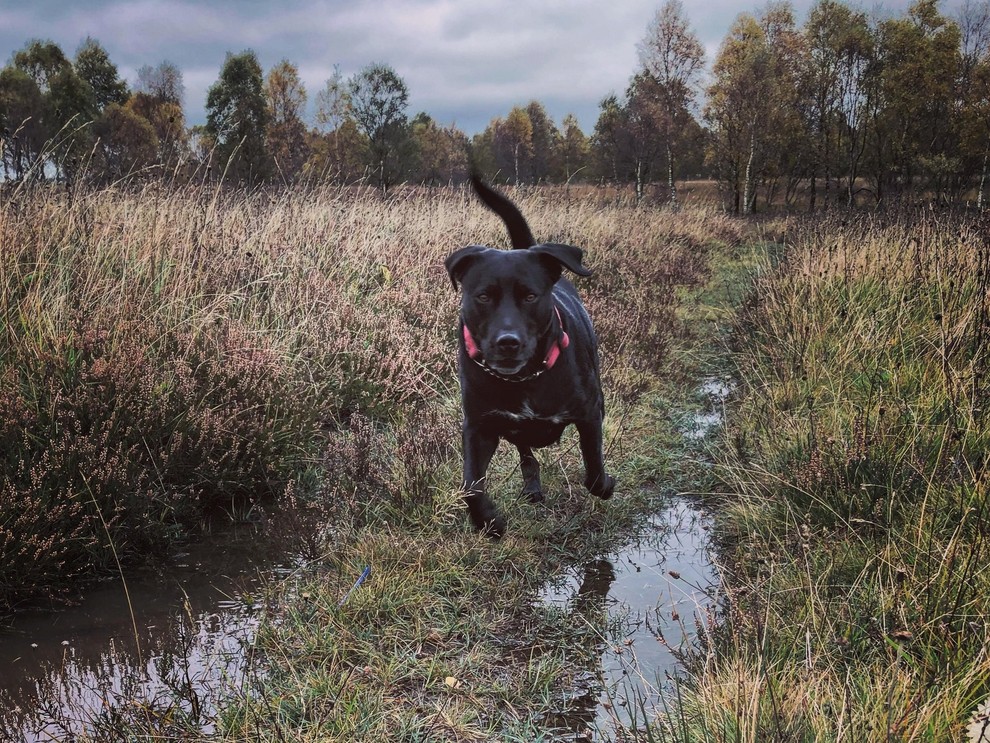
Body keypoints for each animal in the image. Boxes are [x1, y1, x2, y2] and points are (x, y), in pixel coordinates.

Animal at [448, 177, 616, 536]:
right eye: (483, 296)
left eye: (530, 296)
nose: (507, 342)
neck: (526, 379)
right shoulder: (480, 426)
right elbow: (470, 485)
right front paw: (489, 521)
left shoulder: (589, 414)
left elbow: (594, 471)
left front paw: (606, 484)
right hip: (513, 429)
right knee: (526, 454)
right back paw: (532, 486)